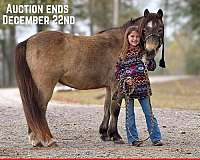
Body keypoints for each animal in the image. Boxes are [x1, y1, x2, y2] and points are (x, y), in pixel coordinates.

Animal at [15, 8, 164, 146]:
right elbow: (115, 109)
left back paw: (36, 140)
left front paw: (104, 134)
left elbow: (106, 108)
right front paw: (115, 136)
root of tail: (29, 40)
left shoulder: (109, 87)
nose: (150, 53)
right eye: (144, 29)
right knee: (39, 108)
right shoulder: (117, 85)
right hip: (45, 86)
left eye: (160, 29)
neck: (122, 43)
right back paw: (48, 140)